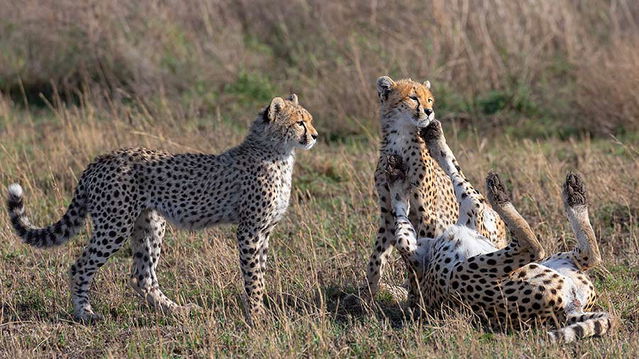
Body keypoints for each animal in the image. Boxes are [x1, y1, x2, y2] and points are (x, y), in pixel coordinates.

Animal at [5, 93, 316, 324]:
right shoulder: (250, 230)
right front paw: (257, 317)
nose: (314, 135)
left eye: (309, 120)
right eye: (300, 122)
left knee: (141, 276)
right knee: (81, 266)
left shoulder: (264, 231)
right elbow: (253, 277)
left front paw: (260, 311)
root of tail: (102, 158)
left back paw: (177, 311)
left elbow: (260, 272)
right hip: (115, 225)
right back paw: (85, 313)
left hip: (150, 223)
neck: (277, 152)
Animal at [384, 119, 616, 342]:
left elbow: (451, 175)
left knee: (535, 246)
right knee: (582, 254)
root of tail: (565, 312)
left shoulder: (469, 214)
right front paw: (398, 176)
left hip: (467, 271)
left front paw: (428, 144)